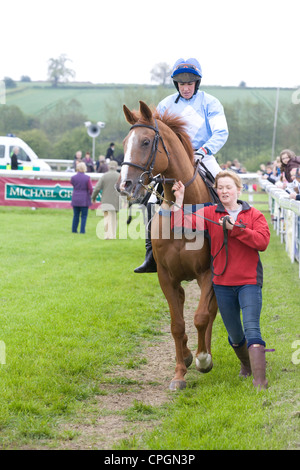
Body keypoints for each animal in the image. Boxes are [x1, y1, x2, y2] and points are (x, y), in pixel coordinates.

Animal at [117, 101, 218, 392]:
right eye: (125, 142)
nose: (125, 185)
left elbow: (201, 317)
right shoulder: (166, 276)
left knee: (211, 313)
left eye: (146, 141)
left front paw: (203, 359)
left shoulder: (208, 274)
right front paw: (180, 372)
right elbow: (177, 325)